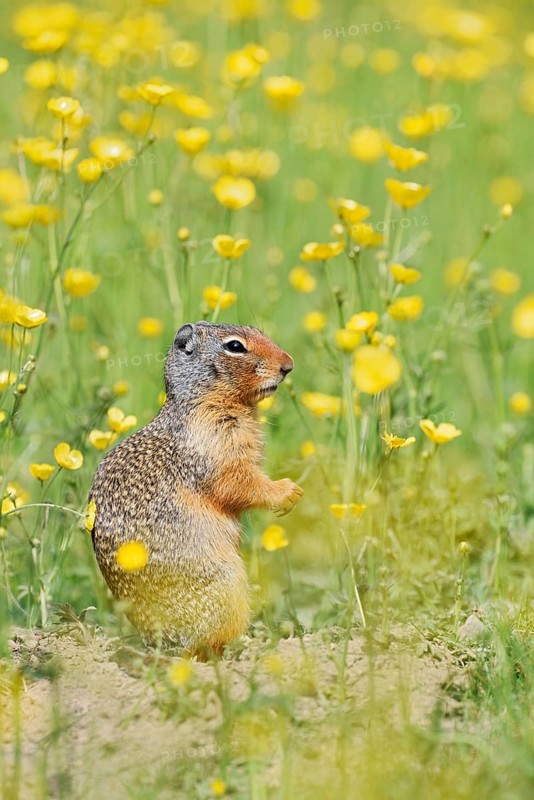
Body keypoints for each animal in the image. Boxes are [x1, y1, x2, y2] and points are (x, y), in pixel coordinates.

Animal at [88, 322, 303, 655]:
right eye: (235, 346)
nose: (288, 365)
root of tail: (158, 643)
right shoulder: (217, 446)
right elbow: (240, 482)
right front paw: (288, 491)